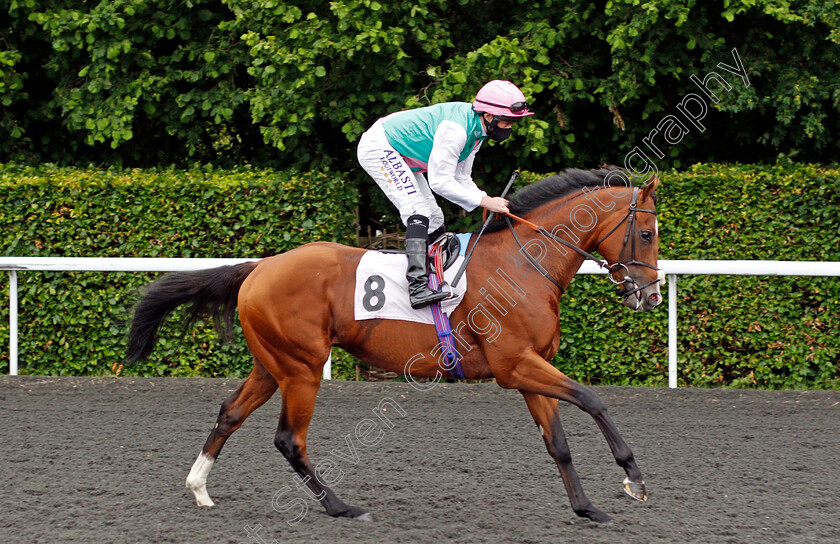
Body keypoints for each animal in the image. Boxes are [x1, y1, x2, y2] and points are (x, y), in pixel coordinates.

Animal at [124, 166, 664, 524]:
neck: (524, 264)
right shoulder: (515, 366)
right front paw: (633, 477)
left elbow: (558, 443)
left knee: (230, 413)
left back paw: (199, 487)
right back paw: (341, 507)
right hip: (301, 369)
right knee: (289, 439)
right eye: (646, 232)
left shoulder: (530, 368)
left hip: (272, 365)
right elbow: (592, 399)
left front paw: (587, 508)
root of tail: (260, 267)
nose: (652, 295)